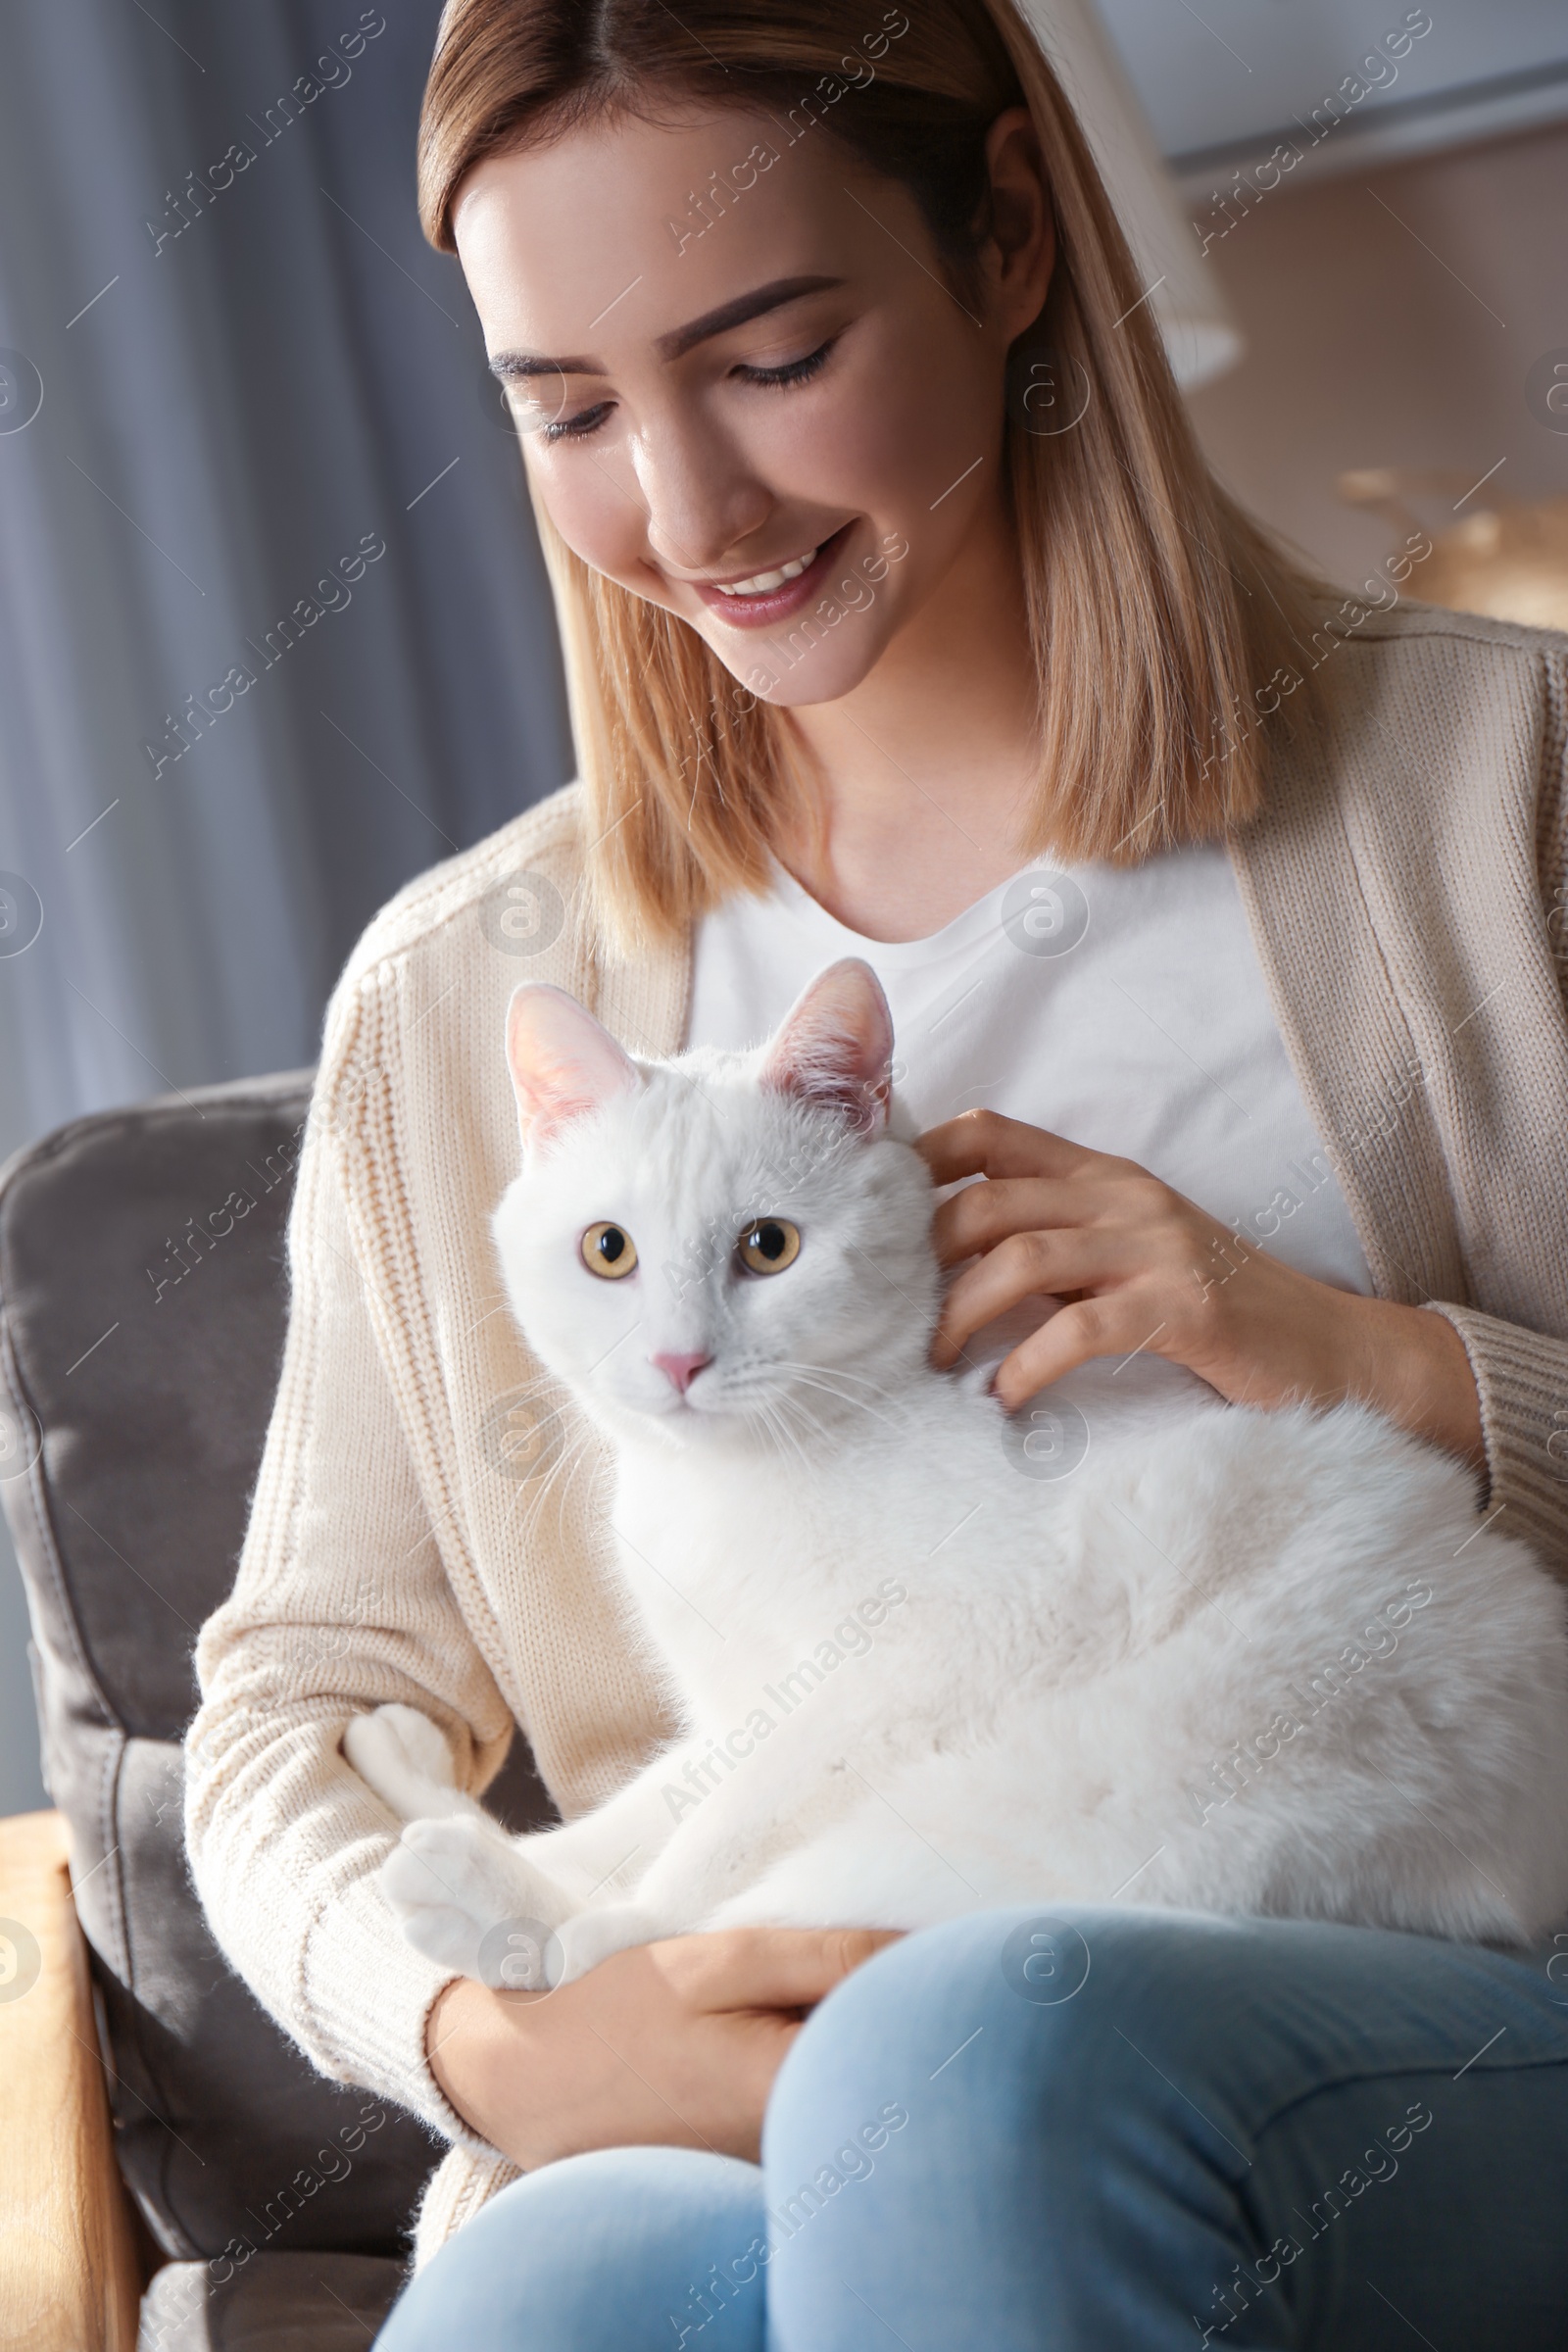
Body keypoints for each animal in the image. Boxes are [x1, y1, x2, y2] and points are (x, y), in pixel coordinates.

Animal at [350, 955, 1568, 1984]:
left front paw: (587, 1913)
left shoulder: (925, 1660)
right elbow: (645, 1811)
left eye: (767, 1247)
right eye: (609, 1251)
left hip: (1093, 1794)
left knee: (737, 1910)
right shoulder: (740, 1696)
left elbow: (715, 1839)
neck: (734, 1481)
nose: (678, 1359)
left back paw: (507, 1914)